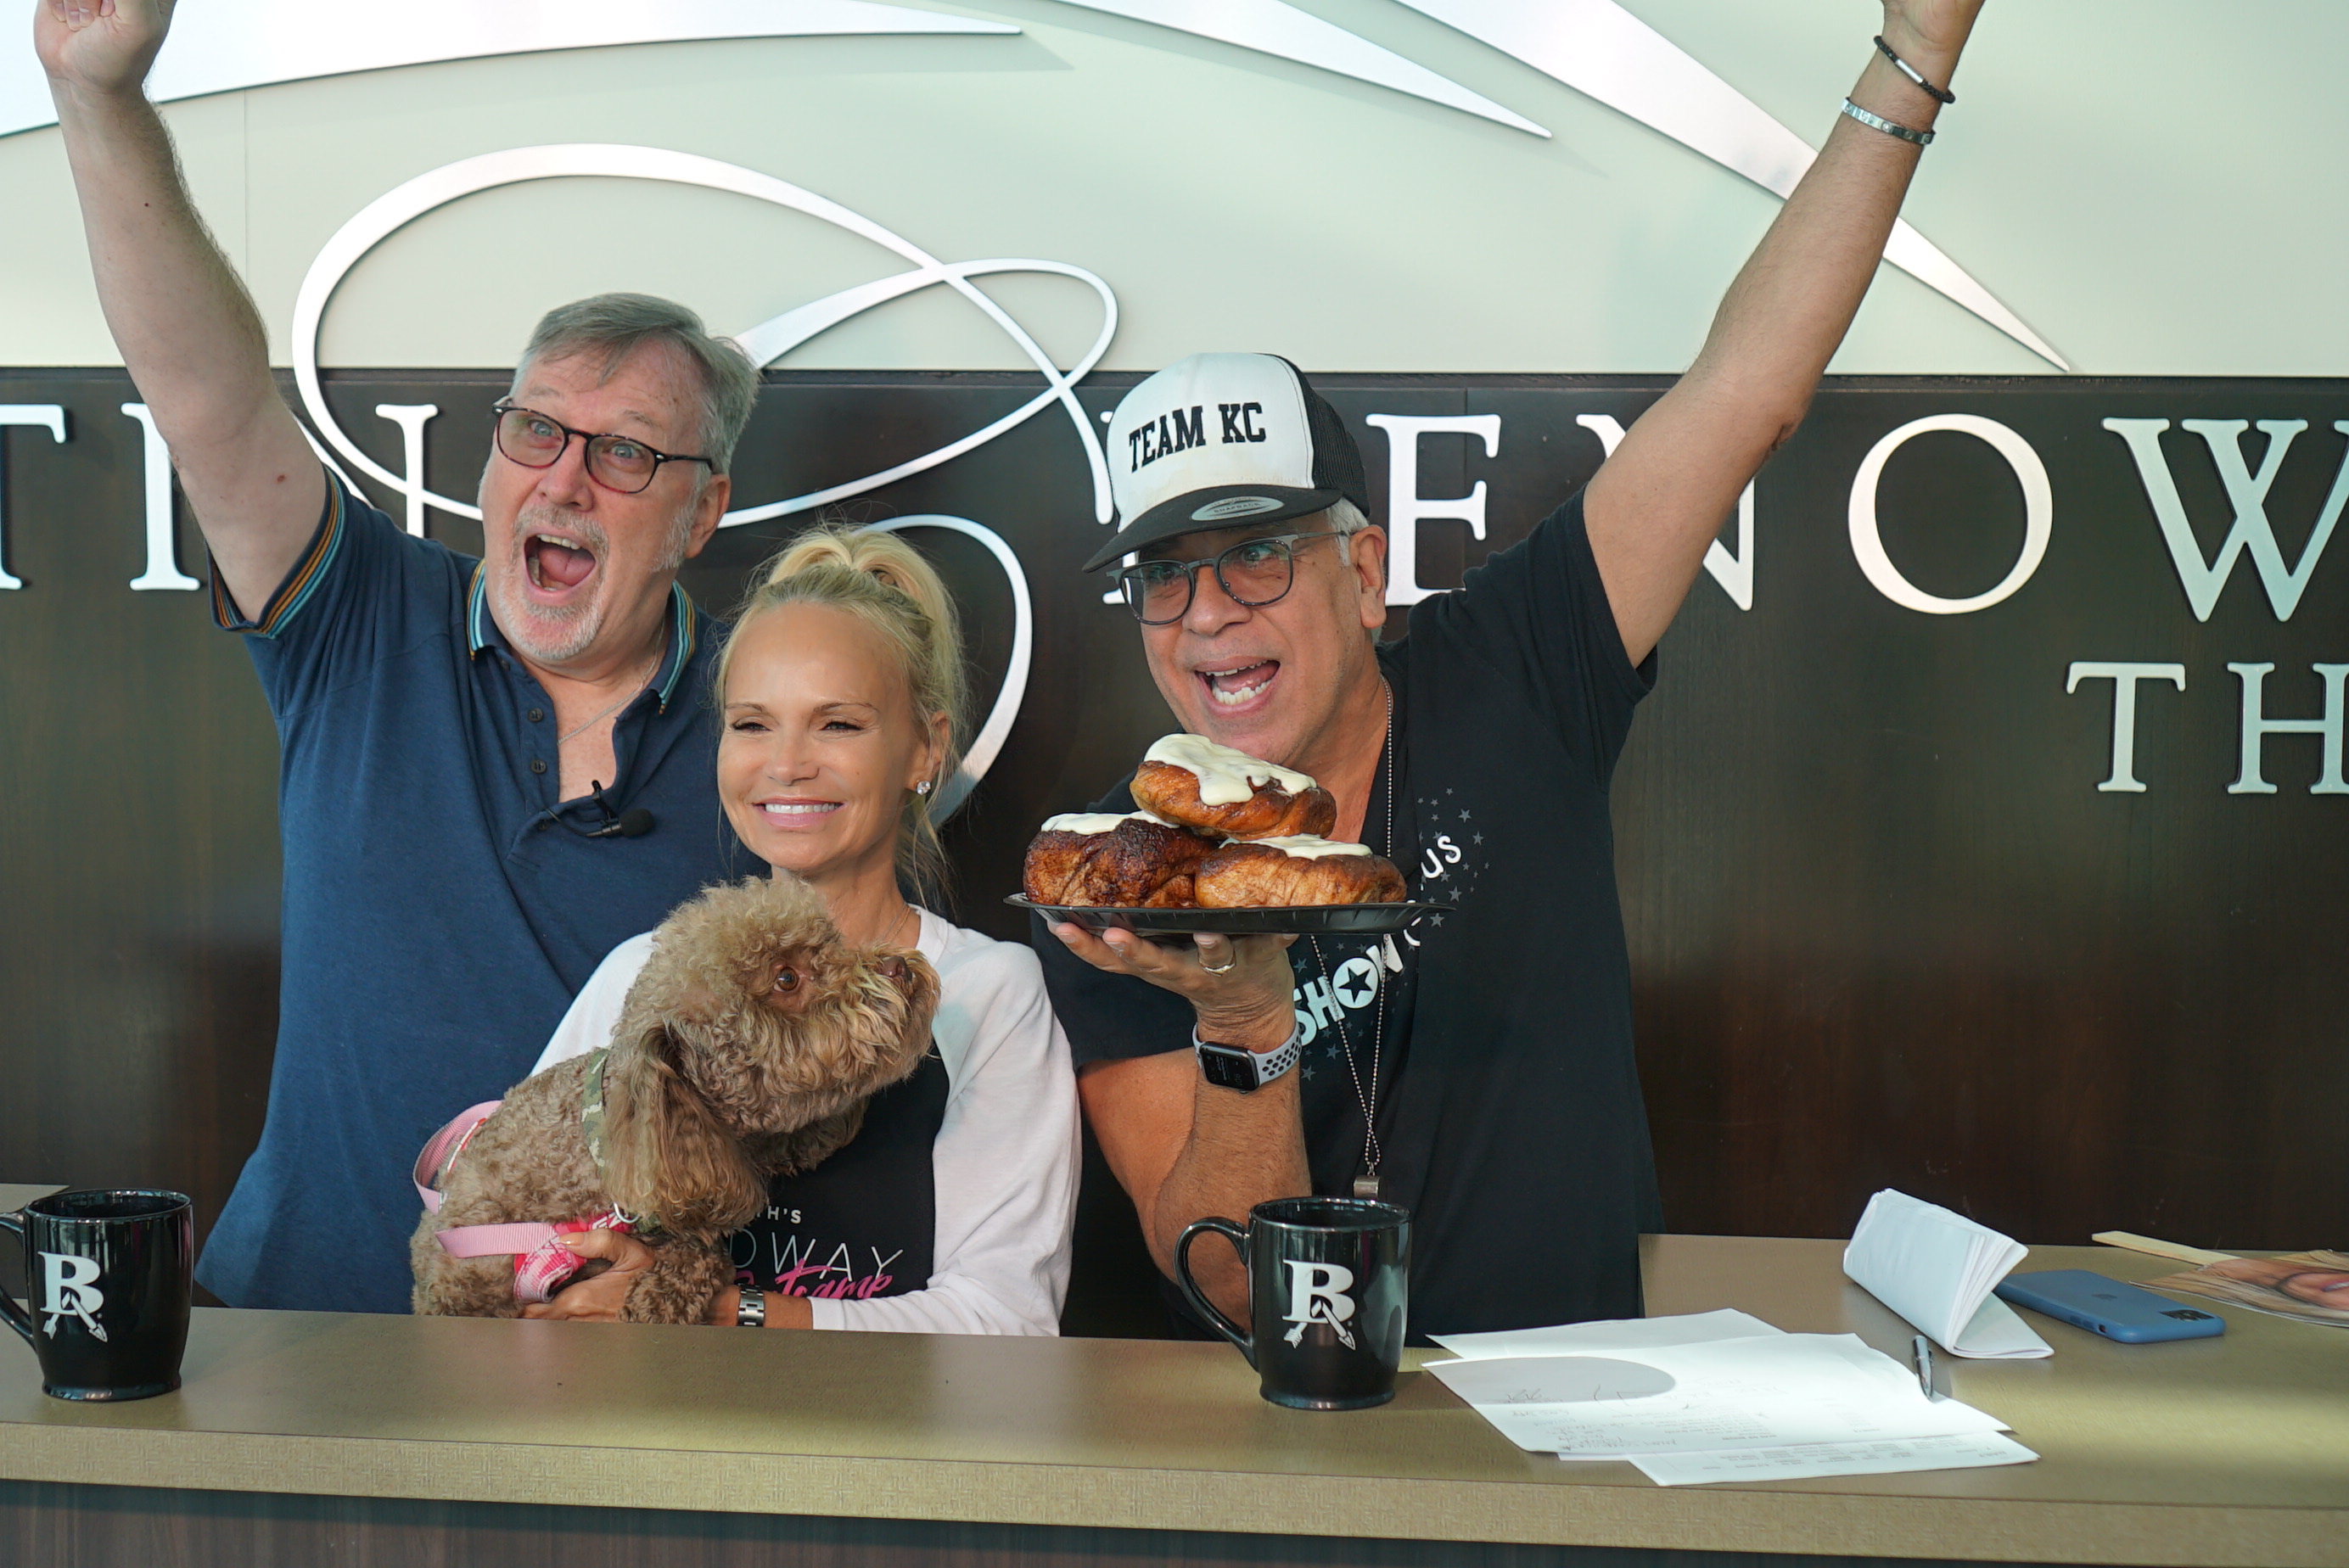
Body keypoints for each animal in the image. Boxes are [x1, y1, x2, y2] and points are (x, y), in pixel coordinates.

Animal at [413, 877, 934, 1314]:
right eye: (786, 977)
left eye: (832, 944)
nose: (899, 965)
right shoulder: (452, 1285)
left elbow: (703, 1254)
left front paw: (662, 1296)